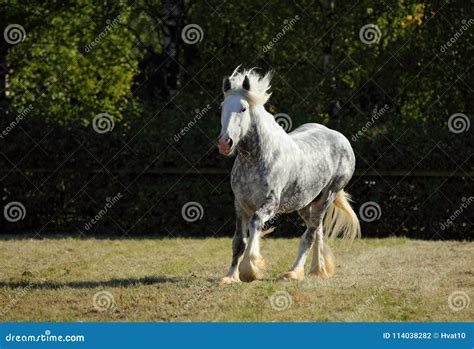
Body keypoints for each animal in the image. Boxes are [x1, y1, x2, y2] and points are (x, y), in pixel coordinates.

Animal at [218, 66, 360, 282]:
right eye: (222, 107)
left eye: (243, 108)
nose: (225, 143)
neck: (256, 159)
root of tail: (341, 139)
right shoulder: (240, 204)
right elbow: (238, 241)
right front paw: (230, 277)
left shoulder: (270, 203)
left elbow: (255, 223)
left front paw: (250, 269)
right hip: (305, 203)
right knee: (318, 231)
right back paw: (318, 269)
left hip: (326, 197)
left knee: (309, 236)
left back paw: (293, 272)